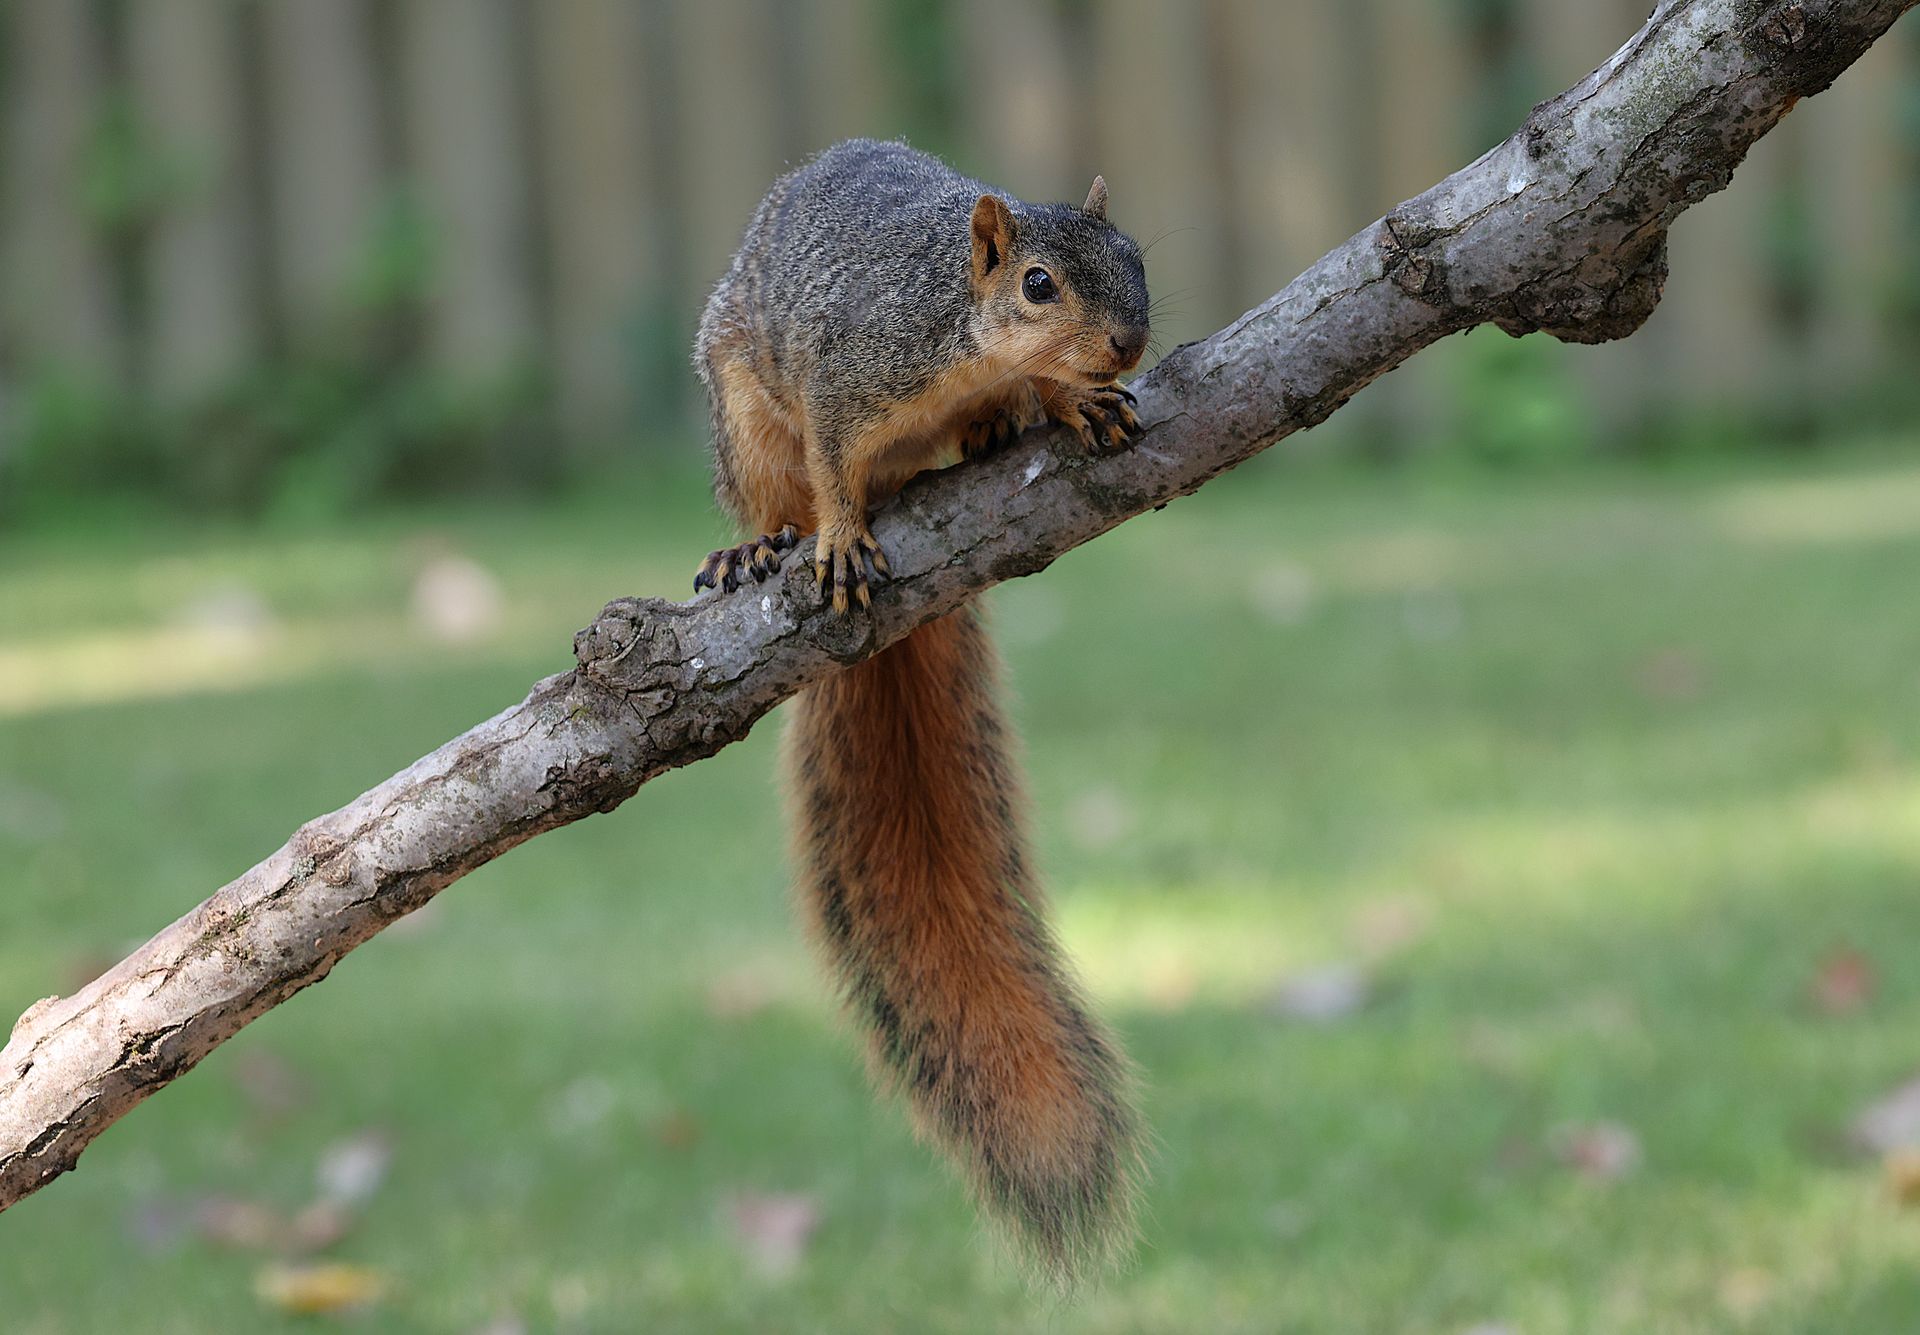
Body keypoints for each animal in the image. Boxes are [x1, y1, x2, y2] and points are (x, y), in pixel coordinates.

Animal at [691, 139, 1152, 1282]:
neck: (963, 336)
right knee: (772, 491)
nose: (1128, 345)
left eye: (1135, 253)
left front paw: (1074, 405)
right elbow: (830, 466)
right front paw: (841, 532)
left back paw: (991, 426)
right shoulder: (844, 370)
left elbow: (1042, 391)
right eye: (1038, 284)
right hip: (740, 411)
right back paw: (761, 546)